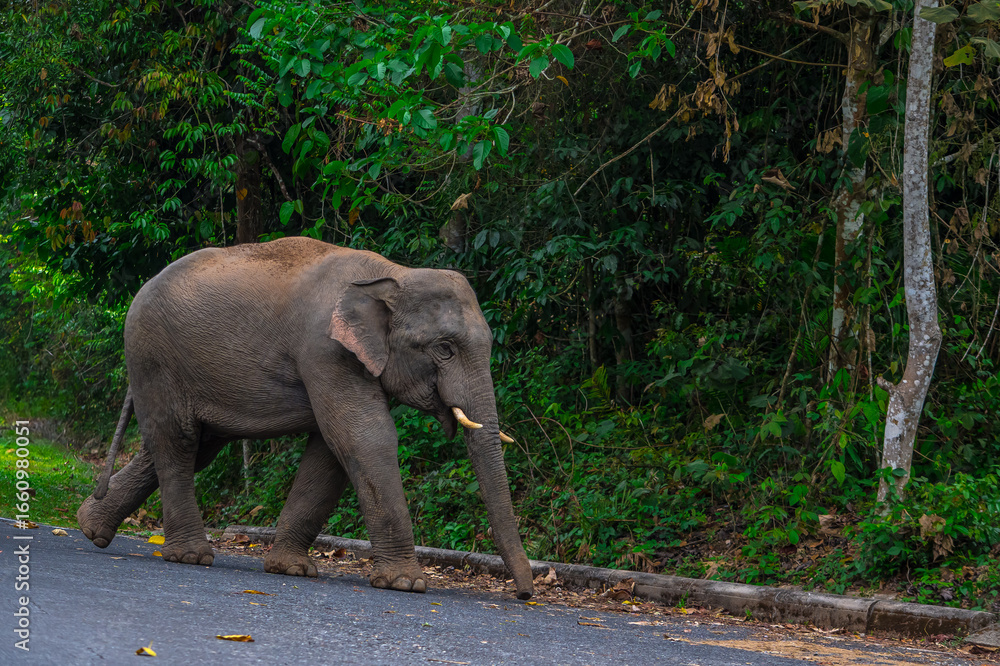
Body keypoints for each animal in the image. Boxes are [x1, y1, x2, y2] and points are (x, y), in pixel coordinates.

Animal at [75, 236, 534, 599]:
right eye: (444, 349)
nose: (525, 594)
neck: (392, 273)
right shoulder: (326, 351)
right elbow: (363, 437)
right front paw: (406, 585)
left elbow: (330, 452)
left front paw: (291, 570)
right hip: (153, 356)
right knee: (179, 441)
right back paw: (190, 556)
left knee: (195, 444)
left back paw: (90, 528)